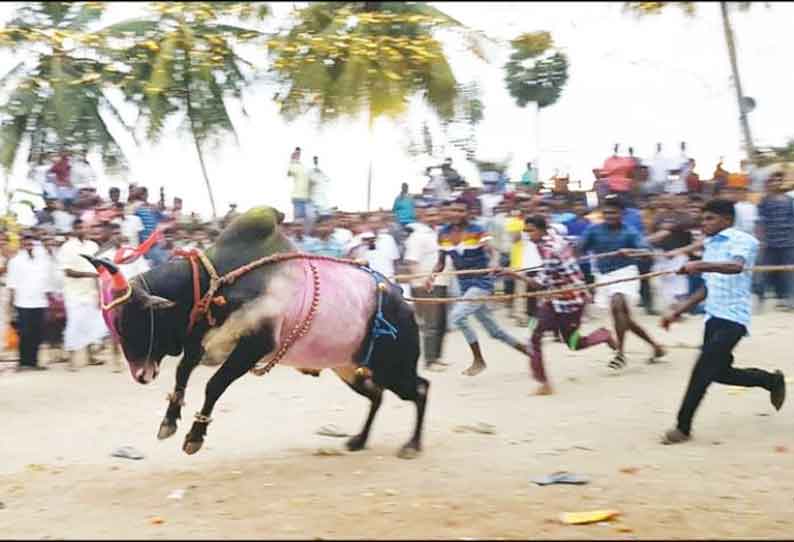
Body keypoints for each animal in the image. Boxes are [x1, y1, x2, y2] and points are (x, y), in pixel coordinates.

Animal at [84, 207, 430, 460]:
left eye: (129, 322)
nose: (140, 375)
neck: (216, 285)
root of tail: (404, 300)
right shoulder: (200, 343)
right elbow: (182, 374)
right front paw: (169, 421)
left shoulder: (252, 347)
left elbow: (213, 385)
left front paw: (195, 436)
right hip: (350, 369)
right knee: (377, 396)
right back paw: (358, 440)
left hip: (394, 369)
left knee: (421, 389)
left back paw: (412, 445)